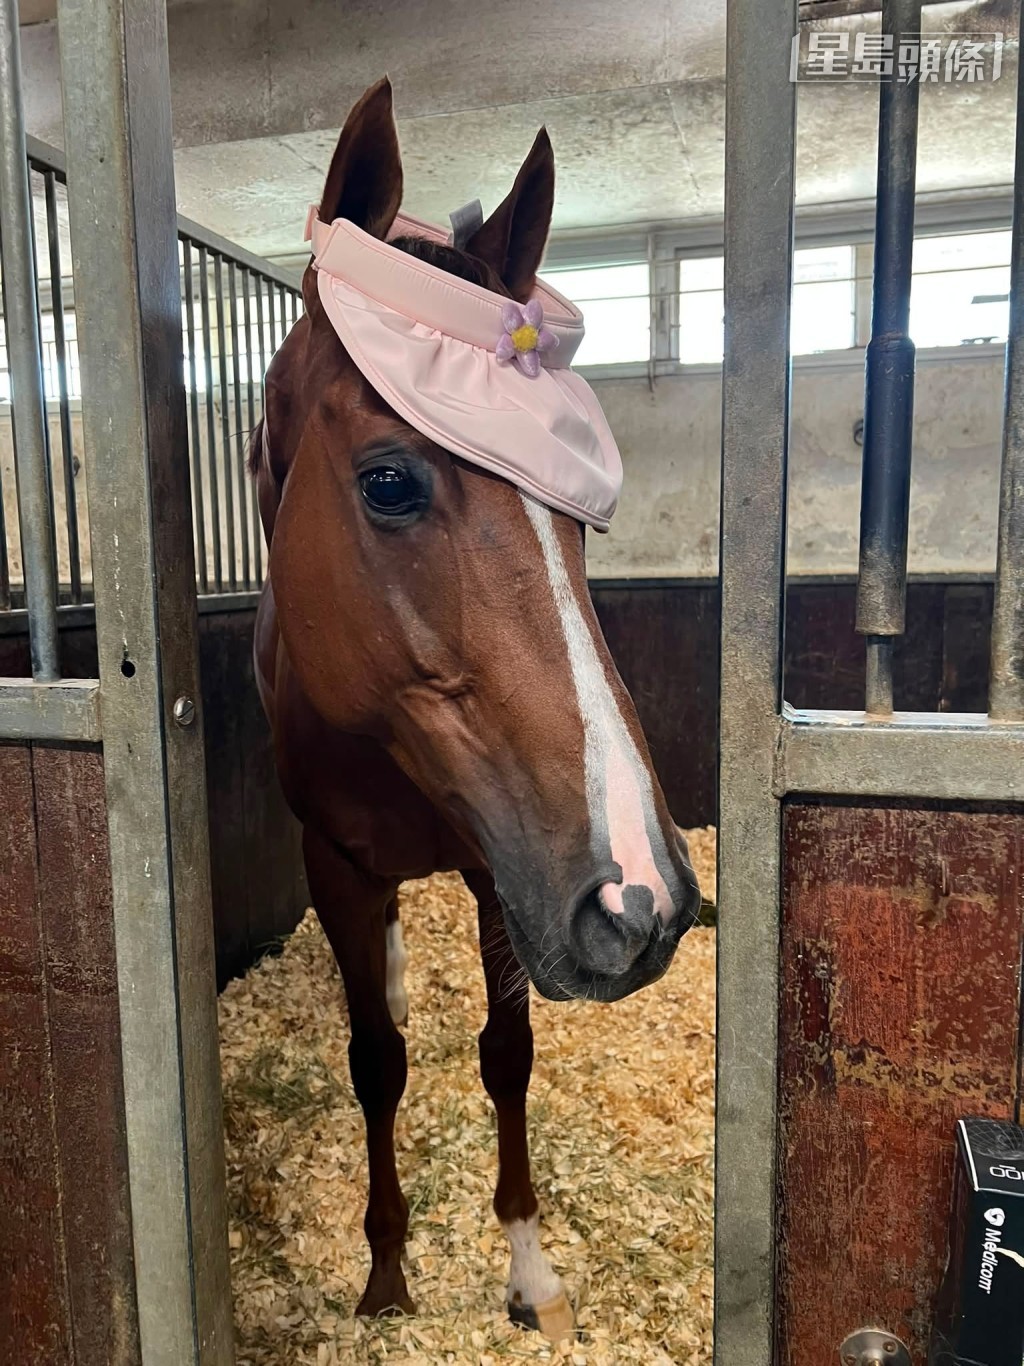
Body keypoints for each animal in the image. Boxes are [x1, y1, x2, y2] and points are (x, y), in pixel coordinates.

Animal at [250, 76, 701, 1341]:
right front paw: (386, 1275)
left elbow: (507, 1050)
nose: (644, 896)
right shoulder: (336, 862)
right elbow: (377, 1061)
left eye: (579, 519)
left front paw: (528, 1267)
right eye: (389, 481)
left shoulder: (502, 866)